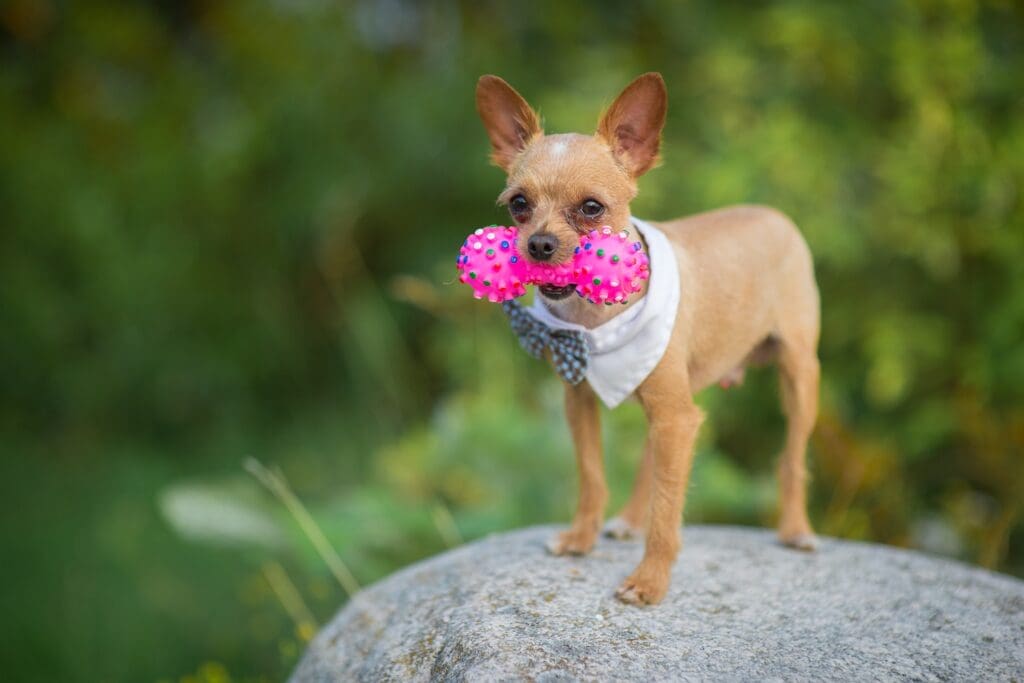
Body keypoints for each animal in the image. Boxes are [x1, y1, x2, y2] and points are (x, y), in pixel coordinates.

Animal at [475, 73, 819, 602]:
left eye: (591, 208)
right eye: (518, 205)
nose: (539, 244)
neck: (593, 322)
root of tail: (773, 214)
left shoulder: (678, 419)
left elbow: (668, 507)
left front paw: (650, 578)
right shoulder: (584, 404)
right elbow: (593, 477)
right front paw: (581, 538)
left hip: (798, 376)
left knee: (790, 458)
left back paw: (796, 528)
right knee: (650, 461)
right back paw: (627, 520)